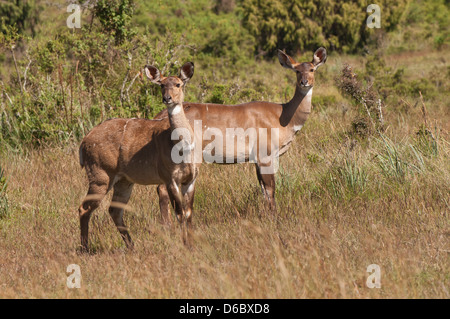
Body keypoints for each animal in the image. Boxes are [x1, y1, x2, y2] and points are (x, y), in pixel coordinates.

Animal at [78, 62, 199, 252]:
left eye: (178, 84)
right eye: (162, 85)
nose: (167, 98)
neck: (182, 148)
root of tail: (83, 142)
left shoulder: (191, 178)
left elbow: (188, 213)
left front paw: (192, 245)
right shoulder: (170, 178)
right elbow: (179, 213)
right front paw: (185, 245)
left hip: (124, 181)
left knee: (114, 210)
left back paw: (131, 246)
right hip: (100, 174)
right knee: (84, 208)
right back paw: (85, 248)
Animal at [156, 48, 326, 225]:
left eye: (312, 69)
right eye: (297, 70)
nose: (305, 82)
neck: (283, 118)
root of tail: (158, 116)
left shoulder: (257, 158)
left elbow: (264, 189)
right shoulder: (265, 153)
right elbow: (271, 188)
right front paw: (275, 219)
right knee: (162, 187)